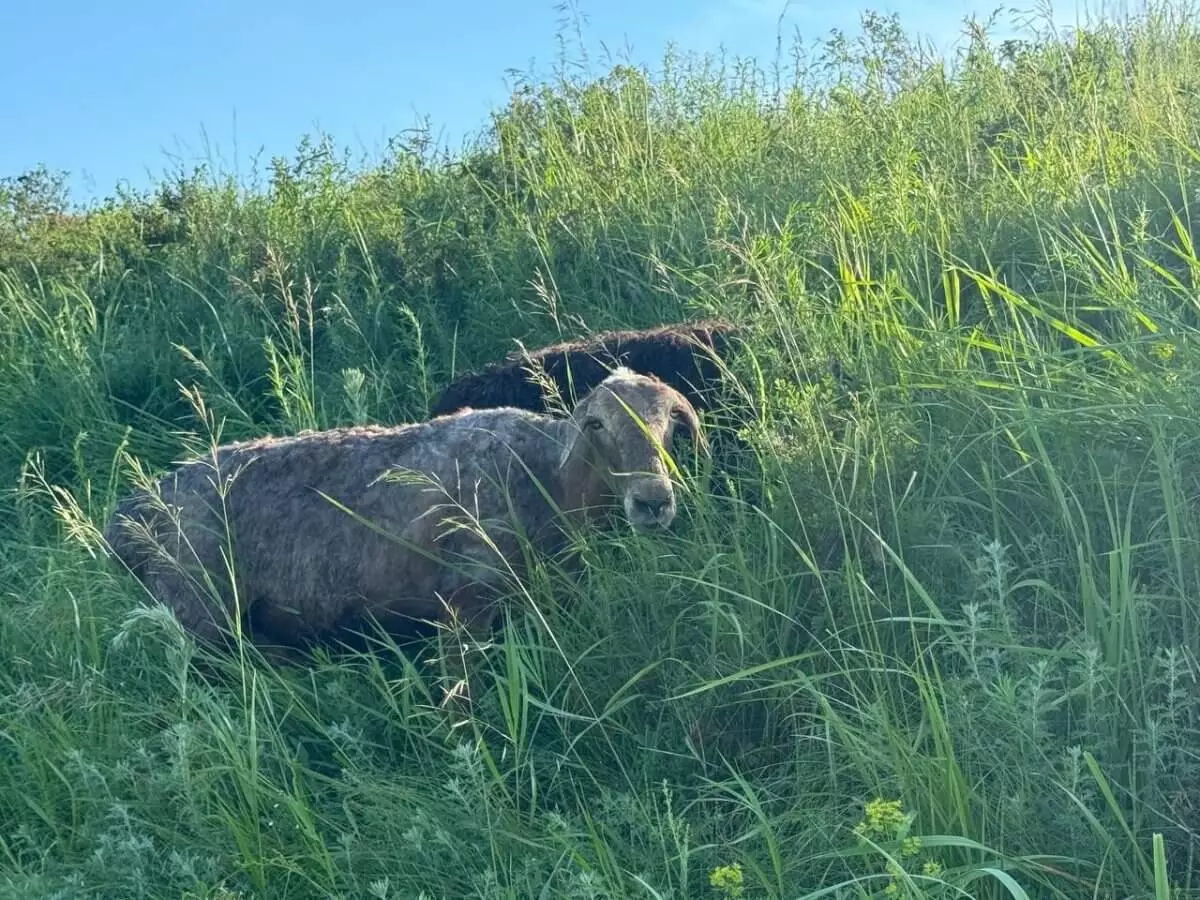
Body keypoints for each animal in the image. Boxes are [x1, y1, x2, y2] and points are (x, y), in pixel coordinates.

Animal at [103, 367, 705, 705]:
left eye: (669, 423)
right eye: (598, 424)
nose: (653, 501)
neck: (546, 475)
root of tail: (131, 513)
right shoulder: (464, 603)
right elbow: (460, 699)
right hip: (200, 618)